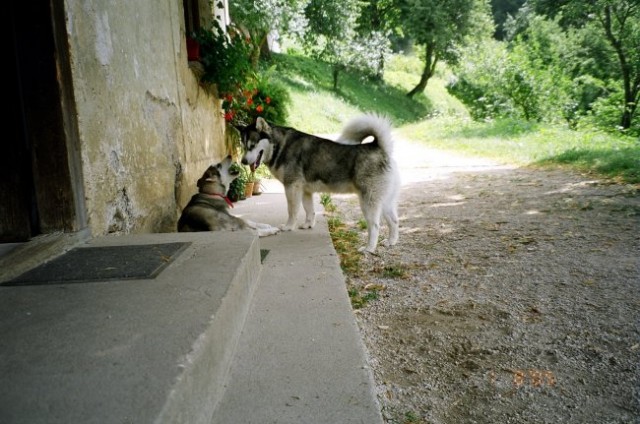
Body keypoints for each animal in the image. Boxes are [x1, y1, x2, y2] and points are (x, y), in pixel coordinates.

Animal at [239, 114, 400, 252]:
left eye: (252, 146)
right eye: (243, 146)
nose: (243, 162)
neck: (279, 146)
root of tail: (378, 147)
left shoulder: (292, 187)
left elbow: (292, 210)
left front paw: (289, 226)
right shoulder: (305, 191)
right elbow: (309, 210)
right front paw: (308, 224)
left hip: (368, 202)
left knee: (375, 226)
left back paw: (369, 248)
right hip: (384, 202)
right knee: (394, 221)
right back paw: (391, 242)